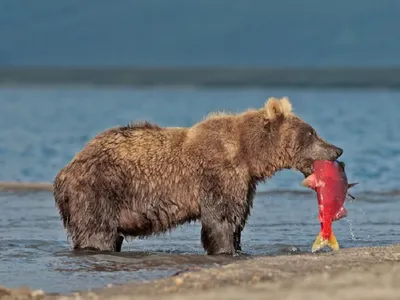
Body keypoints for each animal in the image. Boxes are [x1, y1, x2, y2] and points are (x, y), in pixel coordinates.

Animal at [52, 97, 340, 254]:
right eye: (311, 133)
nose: (337, 149)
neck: (250, 156)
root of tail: (65, 171)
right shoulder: (219, 175)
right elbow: (221, 221)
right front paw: (225, 249)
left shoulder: (245, 184)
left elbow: (237, 220)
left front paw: (237, 246)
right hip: (98, 190)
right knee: (97, 233)